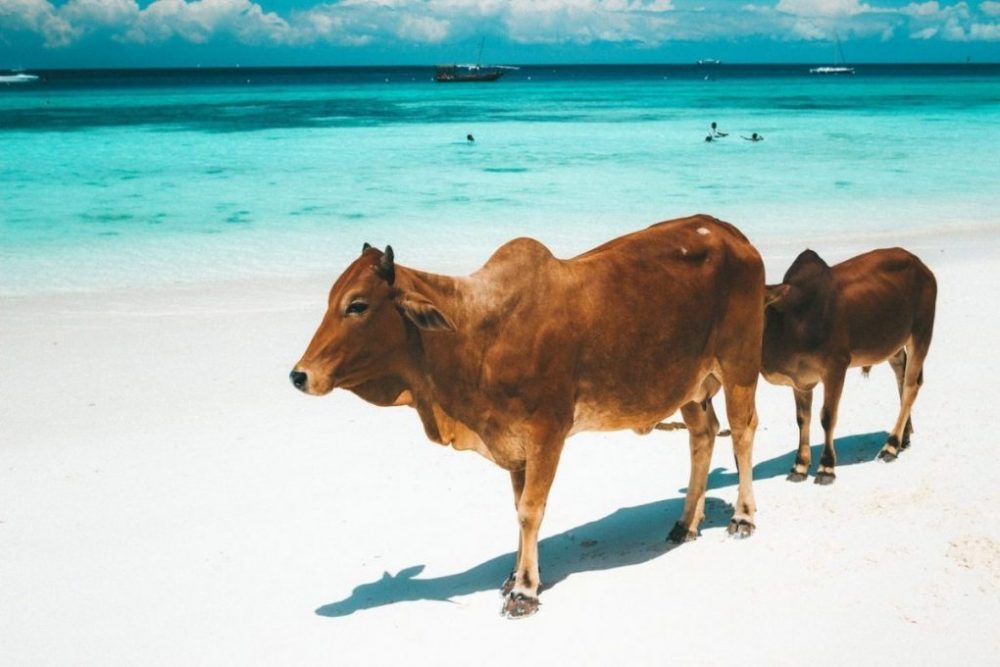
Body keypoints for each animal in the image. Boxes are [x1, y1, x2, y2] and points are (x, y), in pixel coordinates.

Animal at [290, 217, 764, 620]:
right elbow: (517, 508)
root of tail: (731, 232)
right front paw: (516, 575)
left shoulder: (547, 433)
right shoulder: (514, 444)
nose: (299, 375)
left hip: (738, 365)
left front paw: (524, 591)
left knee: (742, 431)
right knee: (703, 435)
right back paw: (686, 523)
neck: (475, 335)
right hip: (690, 385)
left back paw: (742, 518)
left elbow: (530, 510)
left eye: (357, 305)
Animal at [764, 247, 936, 486]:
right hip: (893, 346)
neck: (792, 319)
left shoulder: (836, 368)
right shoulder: (800, 380)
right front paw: (800, 466)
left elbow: (827, 417)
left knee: (911, 386)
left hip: (921, 333)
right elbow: (802, 419)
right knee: (901, 381)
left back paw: (891, 446)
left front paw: (826, 468)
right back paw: (904, 437)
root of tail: (921, 266)